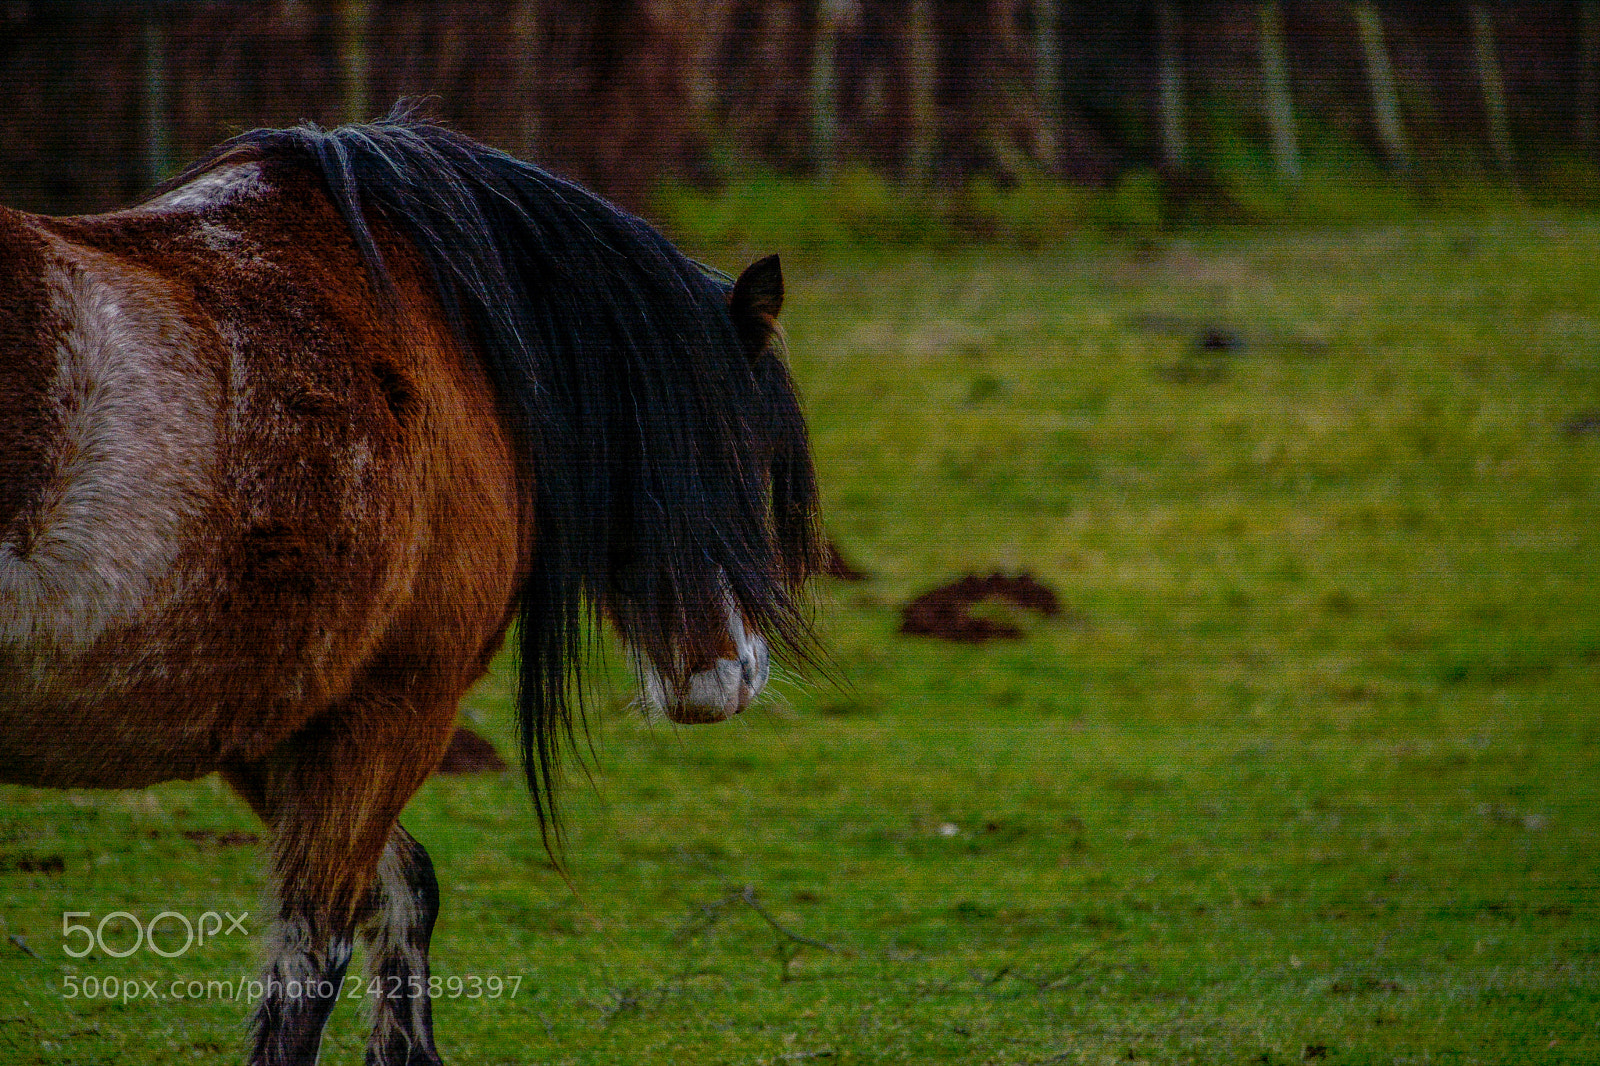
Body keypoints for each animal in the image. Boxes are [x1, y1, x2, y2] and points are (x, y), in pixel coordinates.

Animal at [0, 109, 819, 1062]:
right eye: (739, 448)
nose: (732, 674)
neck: (454, 339)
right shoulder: (393, 702)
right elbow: (310, 957)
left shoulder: (276, 719)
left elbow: (403, 890)